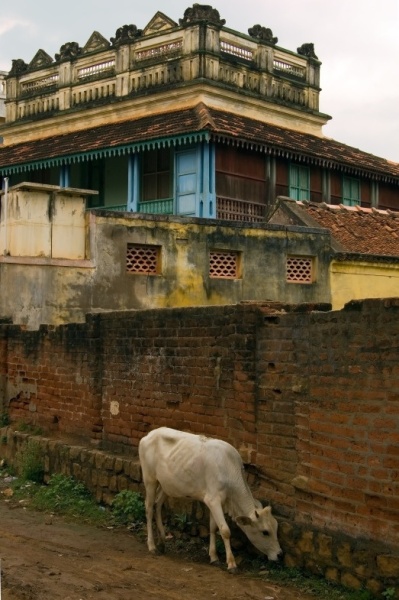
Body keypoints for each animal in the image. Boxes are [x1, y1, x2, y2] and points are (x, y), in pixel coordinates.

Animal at [139, 426, 282, 572]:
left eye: (276, 528)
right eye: (265, 532)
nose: (280, 554)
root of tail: (150, 434)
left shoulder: (216, 502)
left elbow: (213, 528)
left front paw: (213, 557)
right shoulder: (213, 500)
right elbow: (225, 530)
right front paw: (231, 563)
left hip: (166, 485)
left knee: (157, 505)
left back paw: (162, 541)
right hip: (150, 480)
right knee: (149, 508)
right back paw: (152, 545)